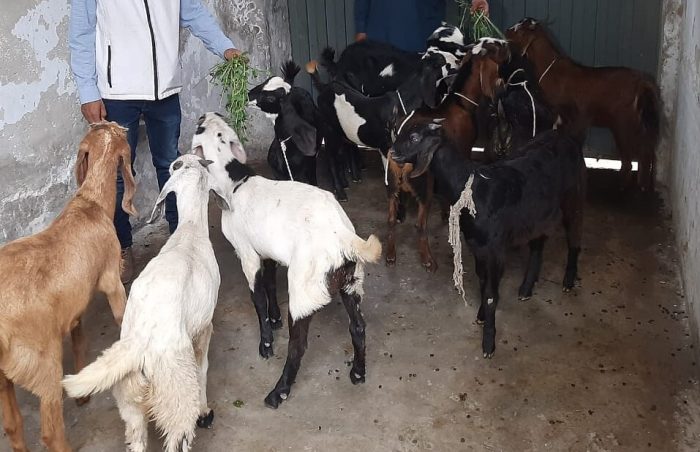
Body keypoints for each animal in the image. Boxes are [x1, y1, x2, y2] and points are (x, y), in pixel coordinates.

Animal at [0, 121, 136, 452]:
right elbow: (121, 315)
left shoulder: (73, 307)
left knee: (13, 426)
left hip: (2, 376)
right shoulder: (111, 278)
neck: (91, 203)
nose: (124, 125)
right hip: (43, 362)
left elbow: (79, 340)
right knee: (50, 432)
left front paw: (83, 393)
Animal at [65, 154, 221, 452]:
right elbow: (203, 368)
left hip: (130, 401)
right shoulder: (204, 326)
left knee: (136, 438)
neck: (190, 229)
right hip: (176, 394)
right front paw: (205, 412)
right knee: (178, 437)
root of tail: (139, 344)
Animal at [191, 113, 380, 410]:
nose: (206, 114)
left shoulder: (246, 252)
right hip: (352, 281)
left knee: (298, 344)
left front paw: (266, 342)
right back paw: (358, 372)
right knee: (358, 326)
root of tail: (343, 236)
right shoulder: (267, 250)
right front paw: (275, 318)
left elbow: (257, 296)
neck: (236, 182)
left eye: (199, 127)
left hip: (304, 289)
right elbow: (269, 284)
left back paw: (278, 391)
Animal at [506, 17, 660, 191]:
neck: (554, 71)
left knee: (637, 155)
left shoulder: (579, 116)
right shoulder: (563, 117)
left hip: (625, 121)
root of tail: (643, 82)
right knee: (645, 149)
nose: (507, 31)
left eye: (521, 29)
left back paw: (633, 186)